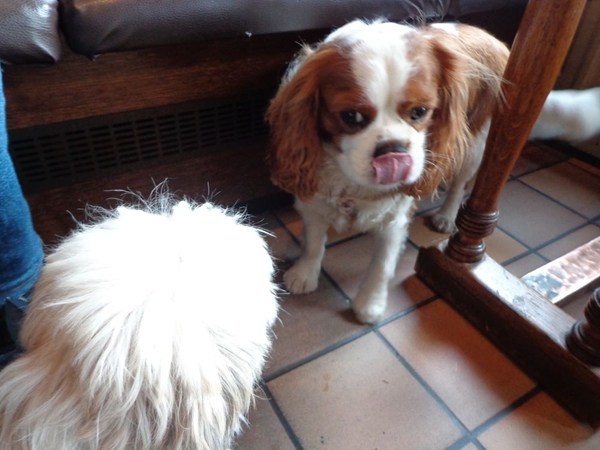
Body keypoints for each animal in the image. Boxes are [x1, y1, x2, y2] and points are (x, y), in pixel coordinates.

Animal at [268, 20, 600, 324]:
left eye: (419, 113)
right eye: (351, 117)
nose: (393, 150)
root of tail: (495, 40)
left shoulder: (395, 216)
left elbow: (382, 264)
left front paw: (369, 305)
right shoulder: (314, 196)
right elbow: (314, 241)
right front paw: (305, 273)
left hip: (474, 145)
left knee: (459, 186)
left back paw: (447, 216)